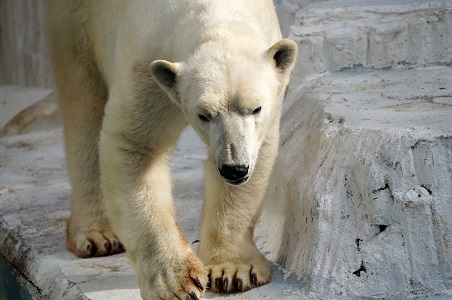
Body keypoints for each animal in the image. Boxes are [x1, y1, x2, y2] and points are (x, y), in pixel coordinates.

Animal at [47, 1, 298, 298]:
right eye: (204, 115)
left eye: (255, 108)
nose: (234, 169)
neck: (215, 16)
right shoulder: (145, 65)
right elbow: (135, 146)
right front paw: (176, 282)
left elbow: (261, 150)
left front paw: (233, 270)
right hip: (75, 24)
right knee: (83, 104)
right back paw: (98, 234)